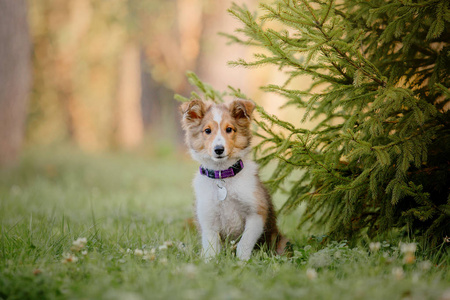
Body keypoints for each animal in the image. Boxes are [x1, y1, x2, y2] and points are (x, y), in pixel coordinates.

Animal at [180, 99, 288, 260]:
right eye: (207, 130)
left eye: (229, 129)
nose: (219, 149)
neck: (223, 176)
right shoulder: (208, 220)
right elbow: (211, 249)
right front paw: (210, 263)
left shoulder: (256, 213)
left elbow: (244, 243)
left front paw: (242, 262)